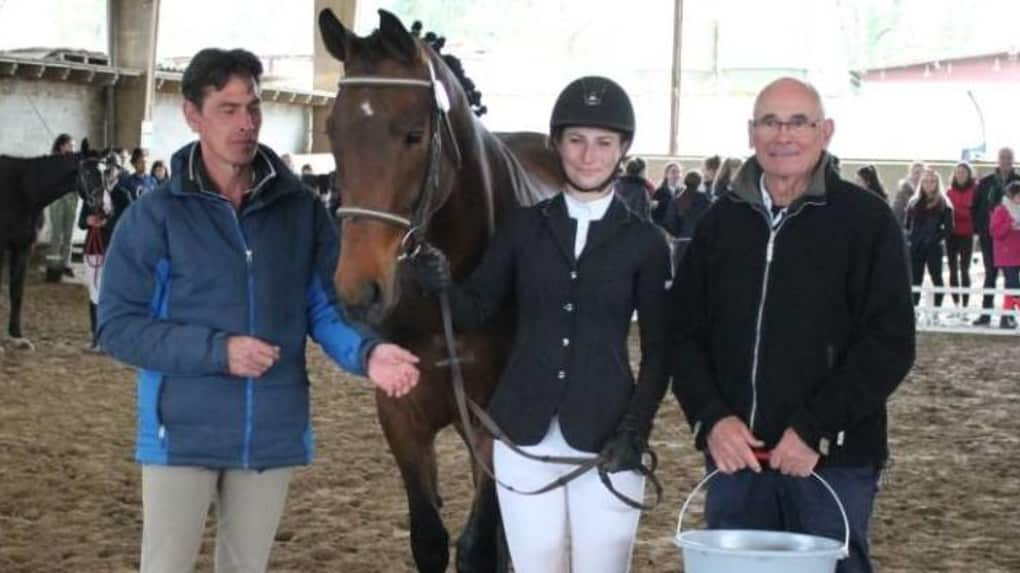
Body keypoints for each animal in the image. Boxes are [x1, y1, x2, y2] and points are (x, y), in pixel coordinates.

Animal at [320, 8, 567, 570]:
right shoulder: (401, 416)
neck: (446, 301)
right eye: (332, 131)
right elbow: (429, 539)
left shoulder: (497, 428)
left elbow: (476, 546)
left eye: (413, 134)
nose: (358, 291)